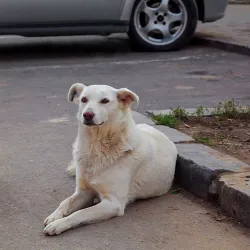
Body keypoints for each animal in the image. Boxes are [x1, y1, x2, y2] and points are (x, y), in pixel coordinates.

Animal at [43, 83, 178, 235]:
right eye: (84, 99)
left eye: (105, 101)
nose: (87, 114)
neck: (96, 147)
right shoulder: (84, 192)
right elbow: (65, 202)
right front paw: (55, 216)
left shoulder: (113, 203)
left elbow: (80, 213)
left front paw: (59, 224)